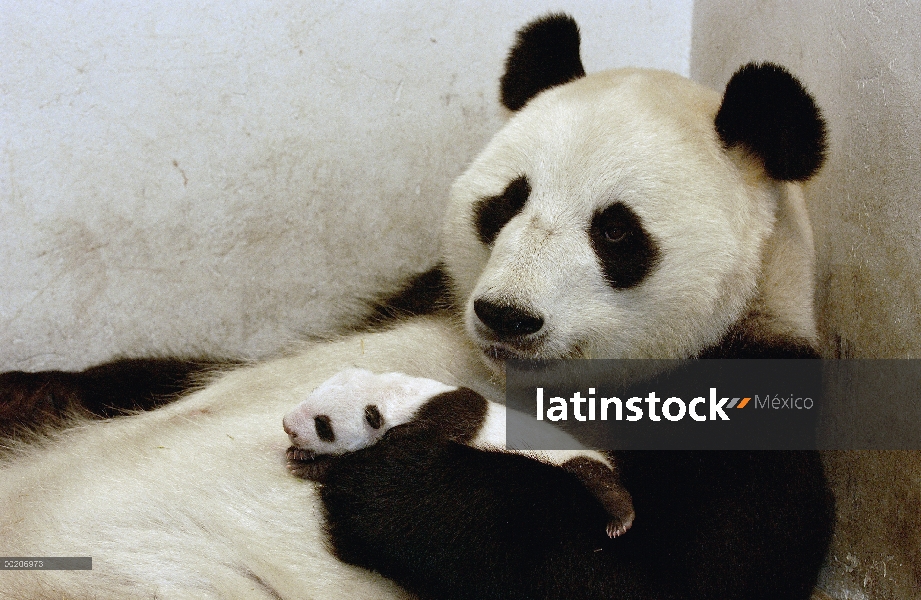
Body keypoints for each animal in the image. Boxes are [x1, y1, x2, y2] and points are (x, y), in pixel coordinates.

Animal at [0, 12, 832, 600]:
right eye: (506, 202)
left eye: (616, 231)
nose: (505, 316)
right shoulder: (415, 299)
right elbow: (183, 369)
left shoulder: (741, 397)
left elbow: (670, 576)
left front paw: (390, 484)